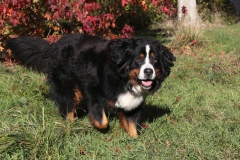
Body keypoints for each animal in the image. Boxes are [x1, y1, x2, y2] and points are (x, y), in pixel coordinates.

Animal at [5, 34, 174, 138]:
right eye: (138, 59)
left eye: (155, 60)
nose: (148, 71)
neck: (124, 79)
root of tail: (54, 45)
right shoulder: (94, 92)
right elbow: (102, 120)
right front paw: (99, 125)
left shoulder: (134, 101)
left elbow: (132, 122)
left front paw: (134, 139)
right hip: (66, 83)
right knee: (68, 105)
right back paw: (71, 126)